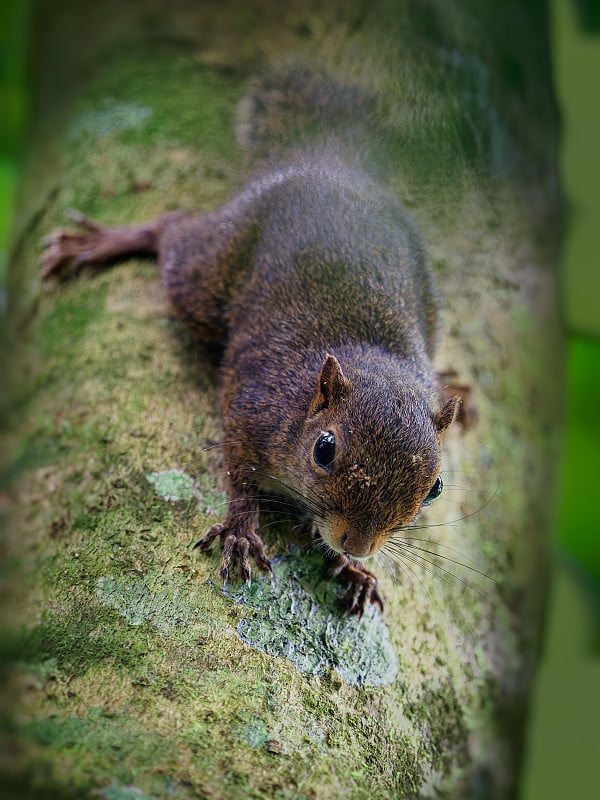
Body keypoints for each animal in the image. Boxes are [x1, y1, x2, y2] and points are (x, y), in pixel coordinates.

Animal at [42, 65, 466, 616]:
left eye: (435, 487)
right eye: (324, 450)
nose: (358, 543)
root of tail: (324, 164)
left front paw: (352, 570)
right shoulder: (253, 404)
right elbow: (239, 472)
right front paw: (242, 529)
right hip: (207, 276)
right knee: (171, 228)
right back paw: (102, 242)